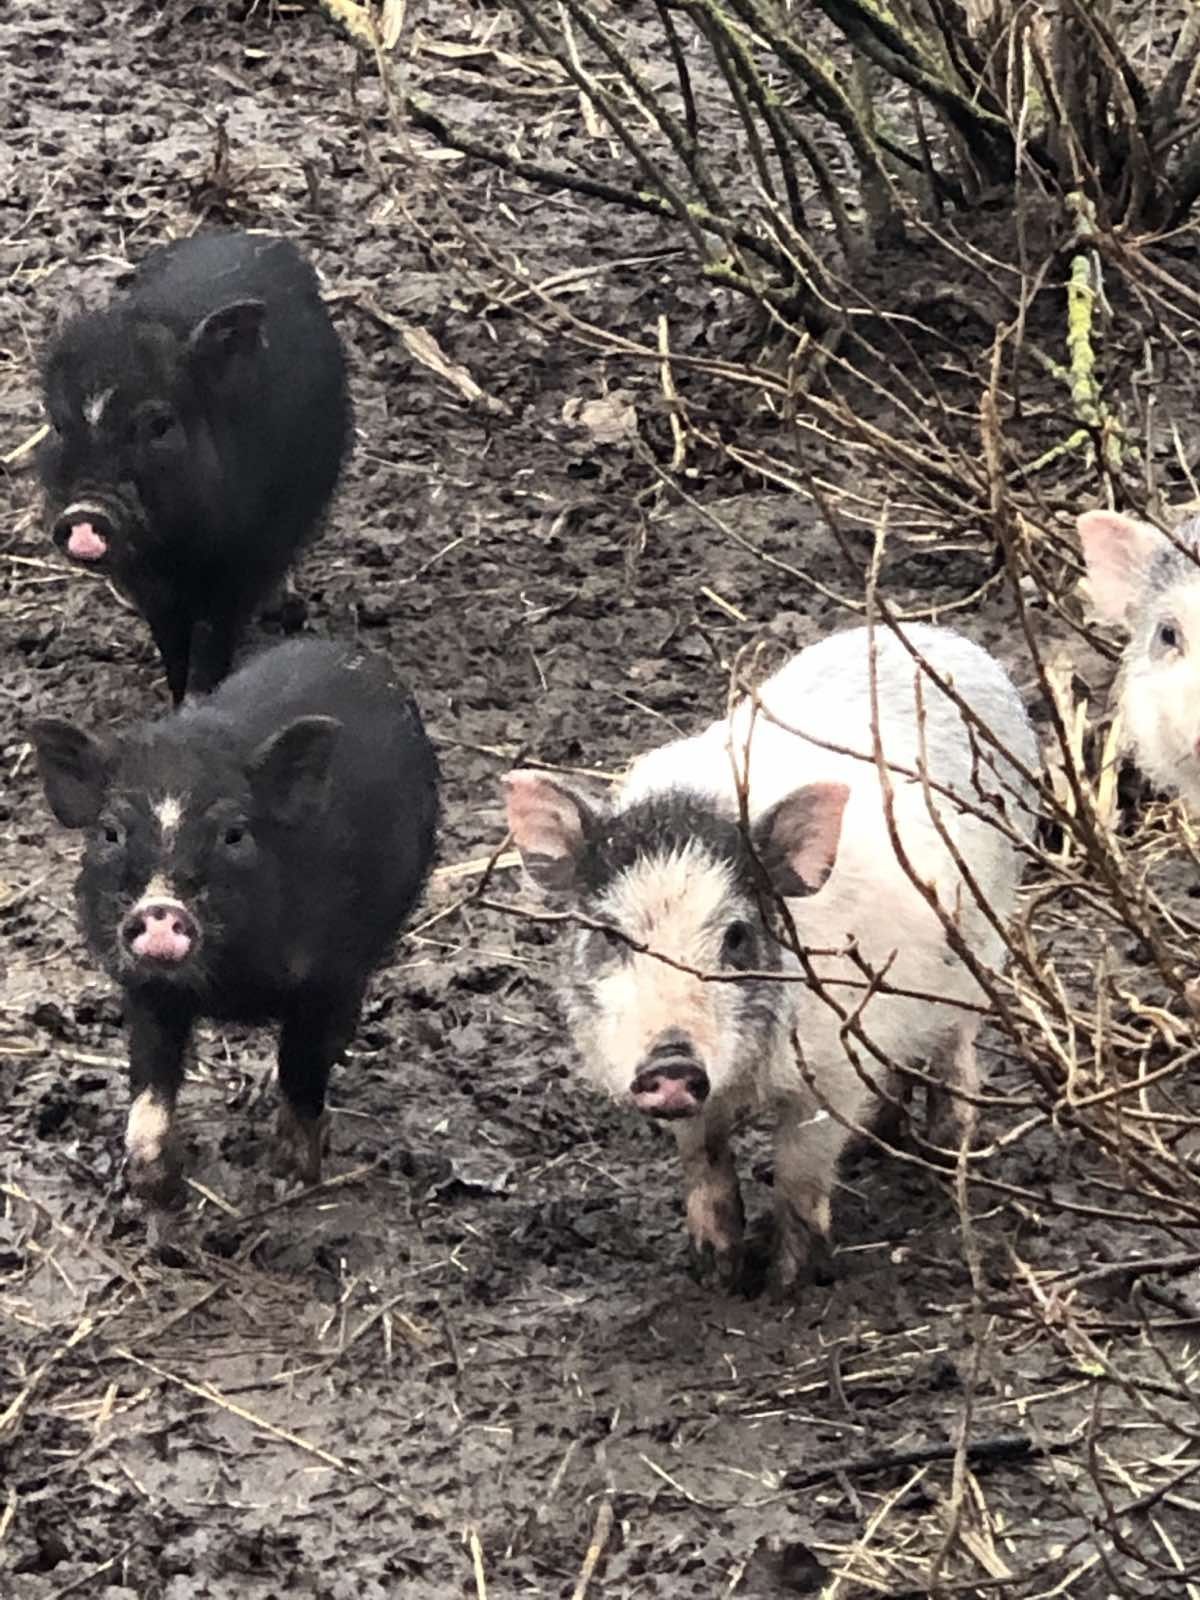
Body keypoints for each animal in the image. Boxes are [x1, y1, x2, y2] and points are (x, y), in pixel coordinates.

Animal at [30, 636, 438, 1209]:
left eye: (234, 834)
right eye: (110, 832)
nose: (160, 910)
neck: (231, 989)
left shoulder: (330, 974)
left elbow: (305, 1068)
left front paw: (291, 1175)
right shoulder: (147, 987)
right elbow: (149, 1083)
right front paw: (158, 1186)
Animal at [37, 230, 347, 700]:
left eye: (160, 425)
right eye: (58, 425)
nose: (86, 511)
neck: (176, 552)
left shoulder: (244, 563)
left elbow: (213, 643)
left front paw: (200, 695)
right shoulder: (149, 587)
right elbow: (171, 646)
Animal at [502, 627, 1036, 1299]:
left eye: (735, 936)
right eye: (611, 933)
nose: (671, 1062)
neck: (744, 1075)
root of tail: (944, 636)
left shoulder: (828, 1072)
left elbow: (799, 1176)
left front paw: (788, 1286)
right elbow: (704, 1164)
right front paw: (716, 1274)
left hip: (979, 946)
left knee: (957, 1053)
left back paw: (943, 1160)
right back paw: (880, 1142)